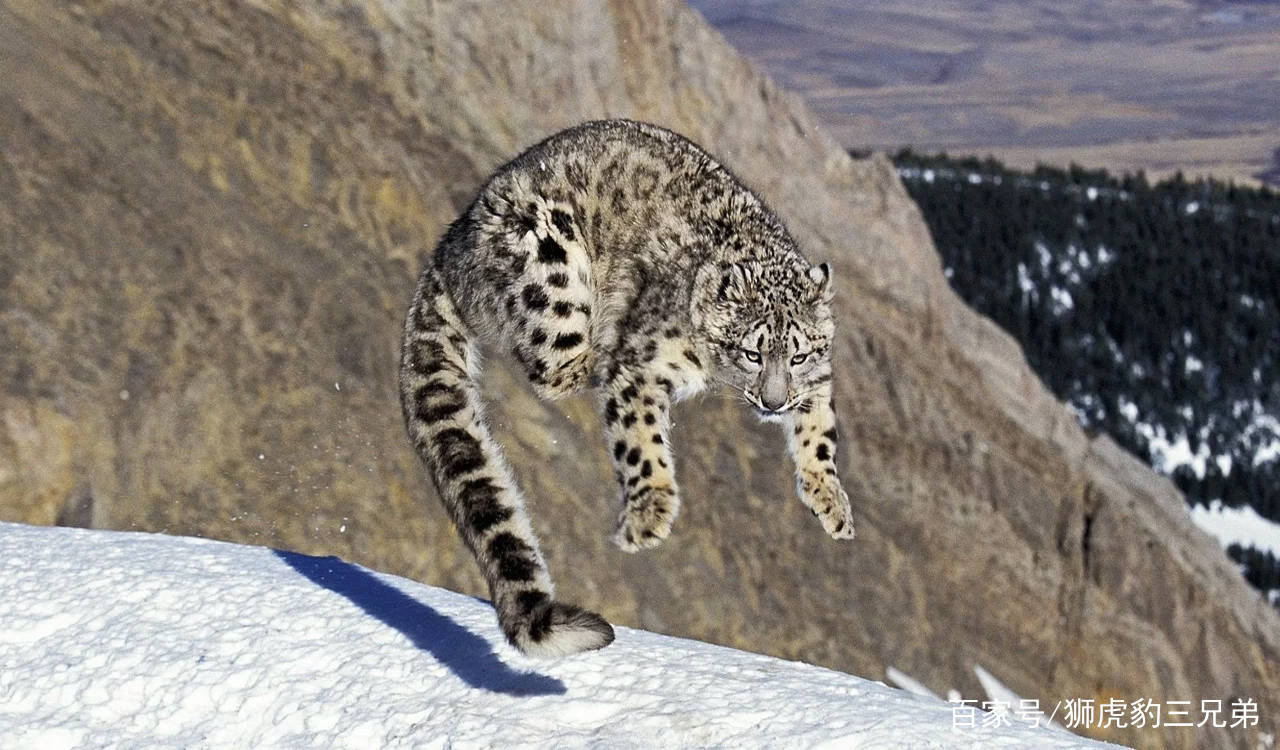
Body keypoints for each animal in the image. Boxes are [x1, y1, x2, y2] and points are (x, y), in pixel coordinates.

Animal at [399, 116, 855, 655]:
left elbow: (820, 434)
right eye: (752, 352)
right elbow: (642, 441)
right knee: (554, 368)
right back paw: (599, 349)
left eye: (798, 354)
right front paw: (648, 516)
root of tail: (451, 243)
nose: (773, 401)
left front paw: (832, 503)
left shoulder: (817, 382)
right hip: (550, 265)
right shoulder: (644, 367)